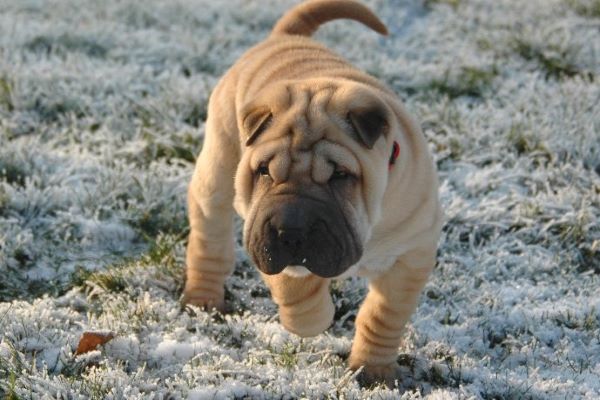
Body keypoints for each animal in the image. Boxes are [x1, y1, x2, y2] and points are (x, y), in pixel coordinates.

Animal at [180, 0, 442, 388]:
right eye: (264, 171)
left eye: (340, 175)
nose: (290, 229)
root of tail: (285, 37)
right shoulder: (266, 238)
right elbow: (295, 288)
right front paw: (315, 319)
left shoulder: (411, 255)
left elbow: (383, 315)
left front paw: (375, 369)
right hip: (217, 173)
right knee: (209, 243)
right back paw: (203, 299)